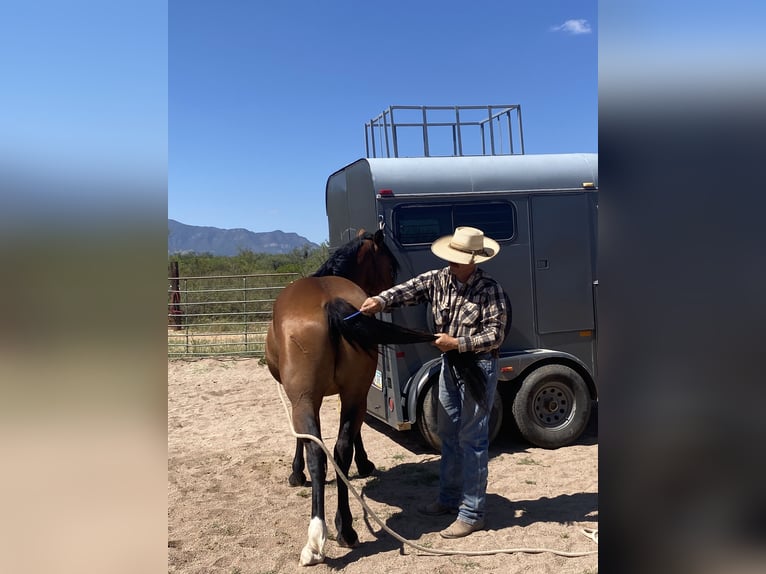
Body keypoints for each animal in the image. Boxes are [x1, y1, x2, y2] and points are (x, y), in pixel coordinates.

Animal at [266, 228, 436, 568]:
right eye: (390, 266)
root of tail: (330, 303)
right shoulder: (350, 393)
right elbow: (351, 435)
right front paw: (365, 463)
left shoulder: (302, 398)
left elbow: (302, 440)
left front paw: (296, 473)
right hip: (354, 392)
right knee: (339, 450)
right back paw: (345, 529)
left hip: (306, 398)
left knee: (318, 454)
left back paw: (317, 537)